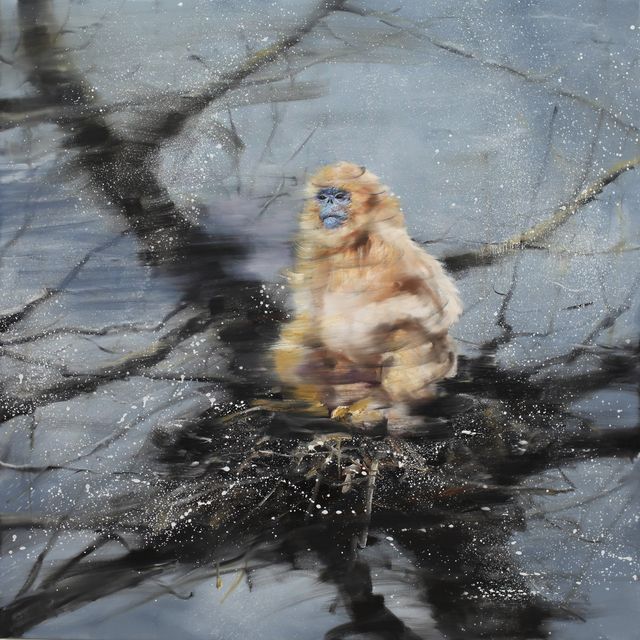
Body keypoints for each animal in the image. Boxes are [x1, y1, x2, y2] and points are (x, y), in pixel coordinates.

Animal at [272, 161, 462, 428]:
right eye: (322, 197)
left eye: (340, 196)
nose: (329, 202)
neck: (351, 246)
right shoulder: (316, 251)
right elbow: (309, 314)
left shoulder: (391, 243)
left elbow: (441, 307)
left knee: (408, 330)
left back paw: (388, 407)